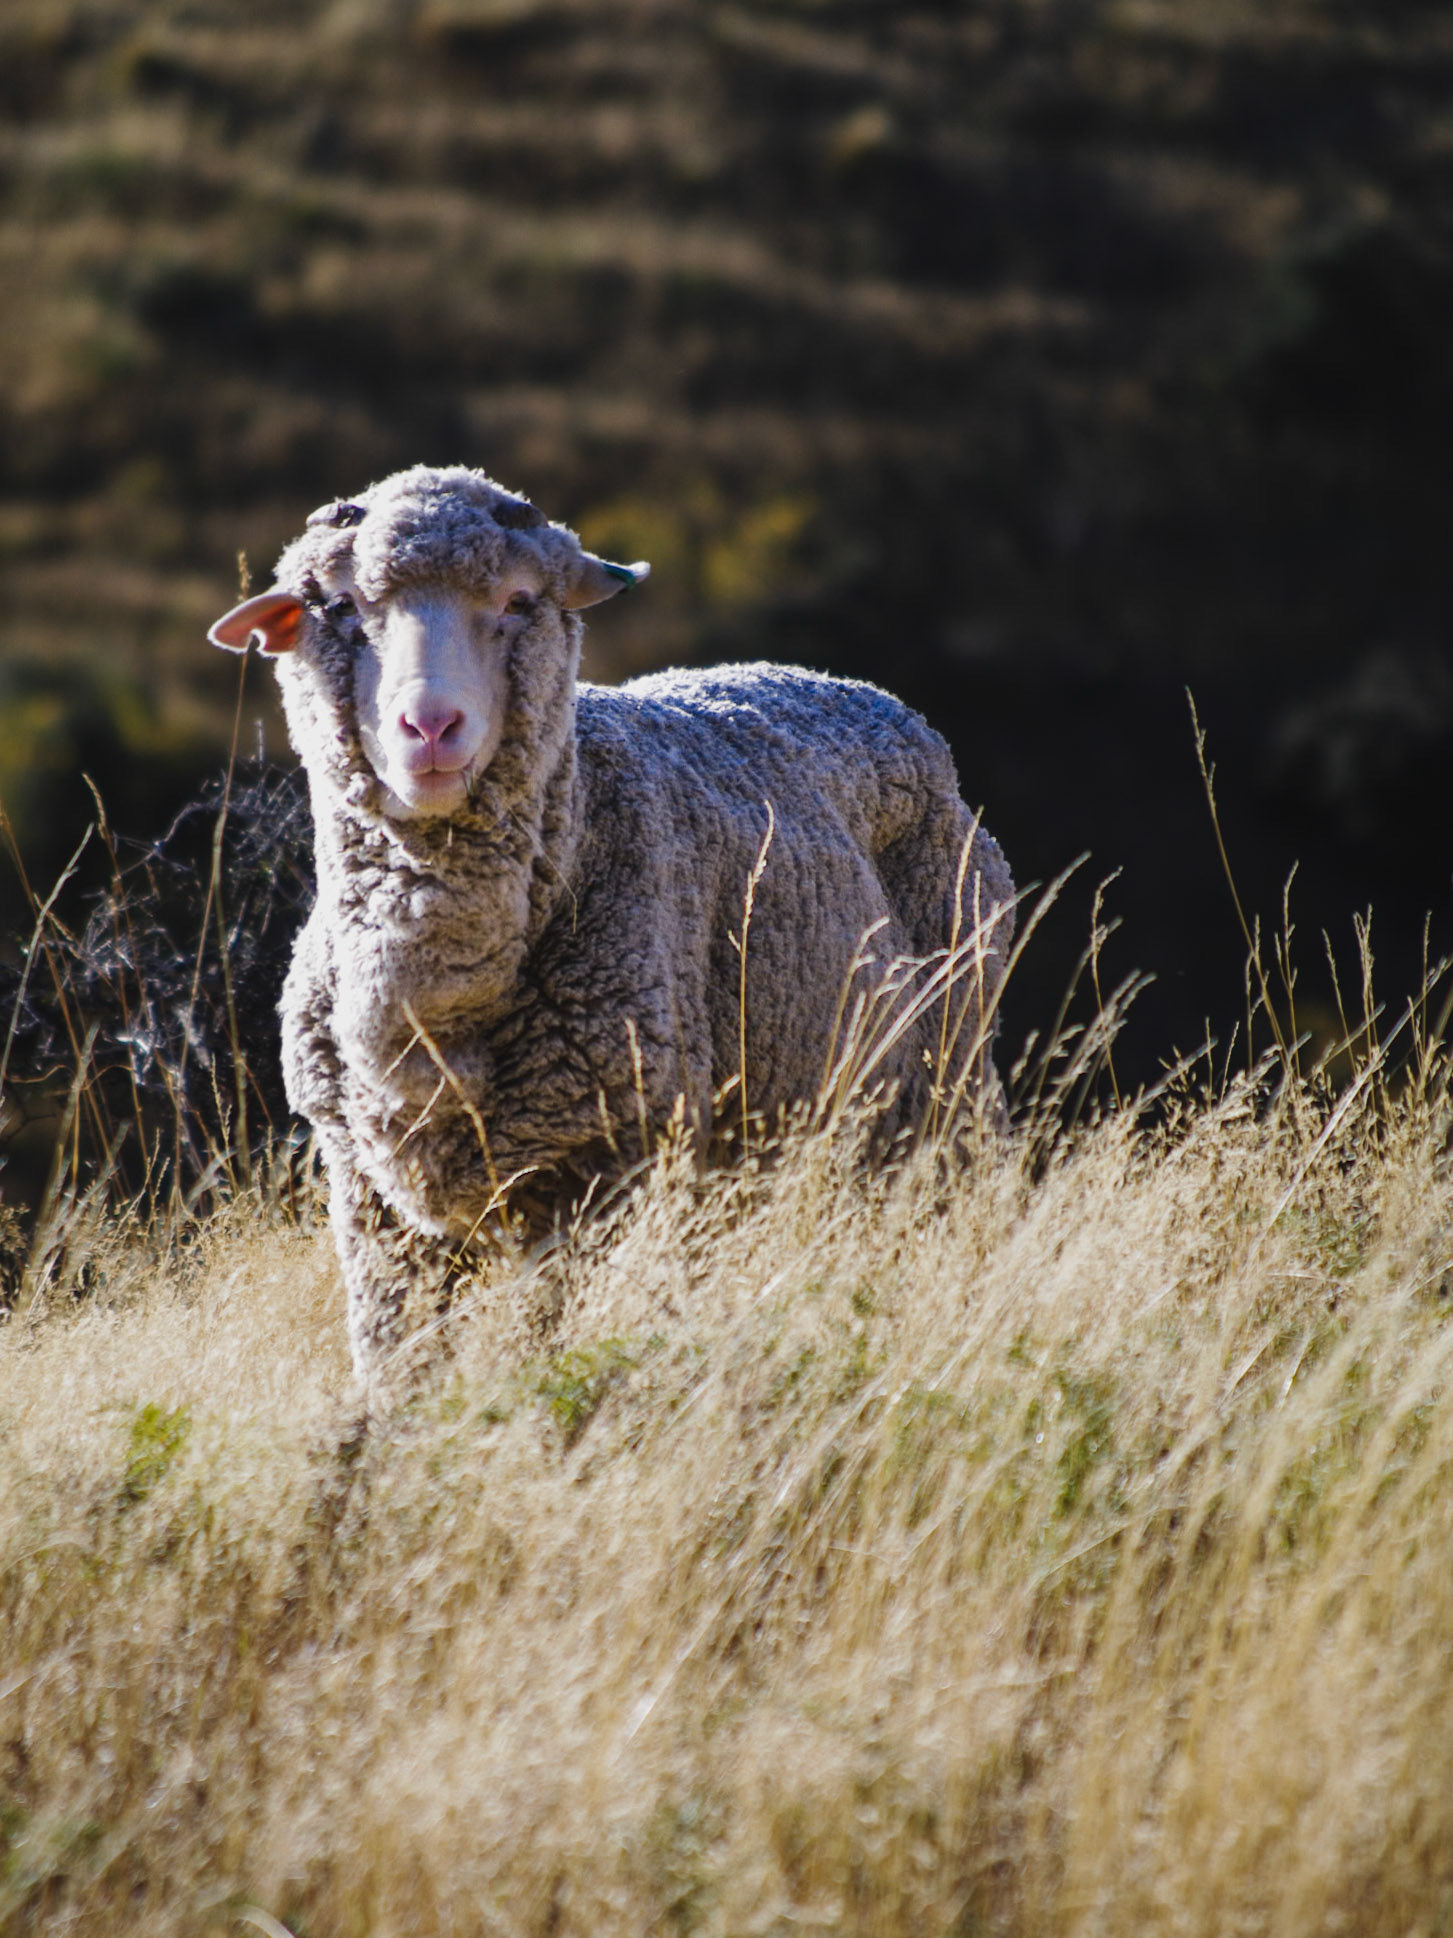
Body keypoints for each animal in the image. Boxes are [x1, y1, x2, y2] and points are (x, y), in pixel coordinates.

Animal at [209, 464, 1015, 1383]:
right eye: (340, 607)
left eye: (520, 600)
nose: (431, 727)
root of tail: (856, 689)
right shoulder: (375, 1211)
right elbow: (400, 1370)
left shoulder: (604, 1177)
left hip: (949, 1077)